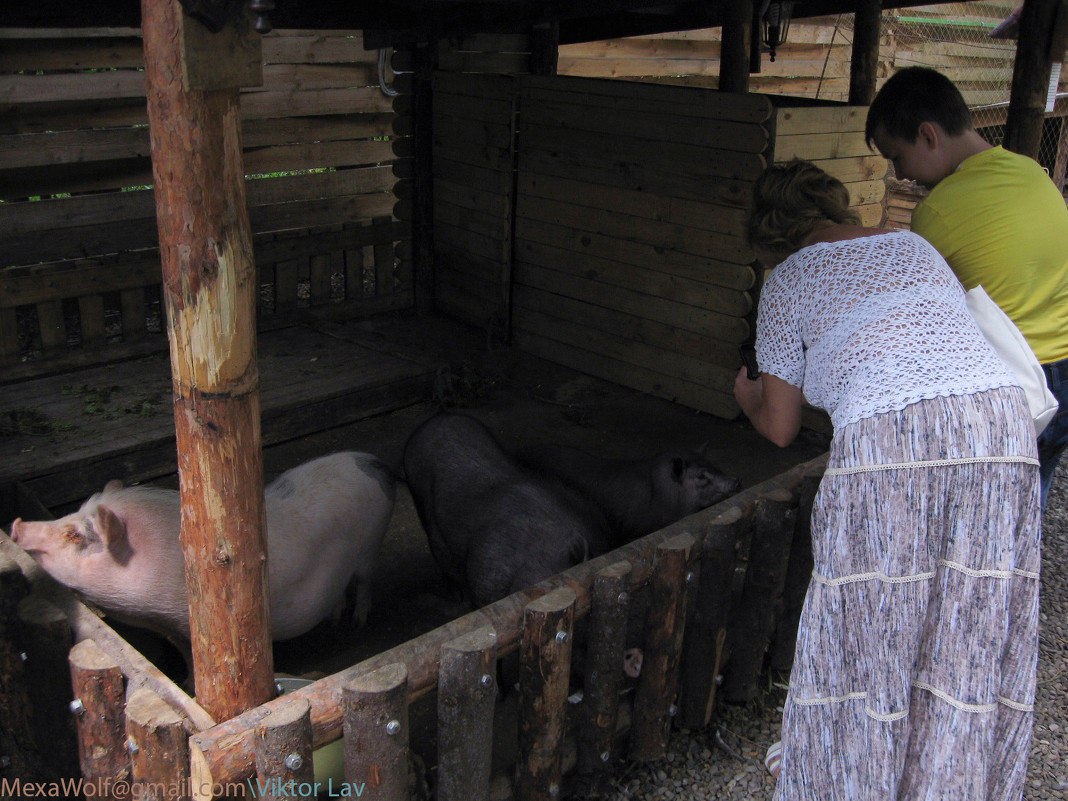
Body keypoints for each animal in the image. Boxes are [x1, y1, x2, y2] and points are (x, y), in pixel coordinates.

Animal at [10, 452, 395, 645]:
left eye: (76, 535)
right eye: (71, 514)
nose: (16, 525)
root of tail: (375, 461)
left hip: (371, 544)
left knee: (365, 582)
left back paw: (357, 625)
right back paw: (334, 620)